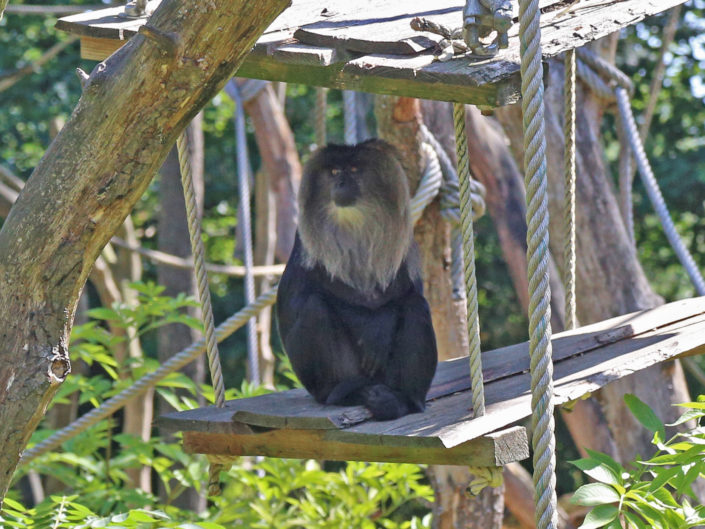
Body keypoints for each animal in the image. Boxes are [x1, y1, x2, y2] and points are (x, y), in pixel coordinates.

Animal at [276, 139, 438, 421]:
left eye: (352, 169)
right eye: (333, 172)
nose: (341, 183)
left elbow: (410, 294)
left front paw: (382, 324)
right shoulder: (304, 246)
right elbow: (295, 302)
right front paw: (375, 328)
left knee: (416, 306)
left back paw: (404, 401)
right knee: (314, 307)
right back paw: (341, 393)